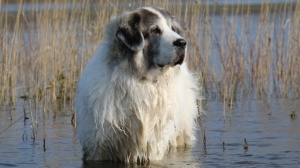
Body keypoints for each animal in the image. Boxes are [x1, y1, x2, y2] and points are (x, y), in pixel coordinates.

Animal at [75, 6, 199, 163]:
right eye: (155, 30)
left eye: (173, 29)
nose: (182, 43)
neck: (141, 79)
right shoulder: (98, 148)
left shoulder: (153, 146)